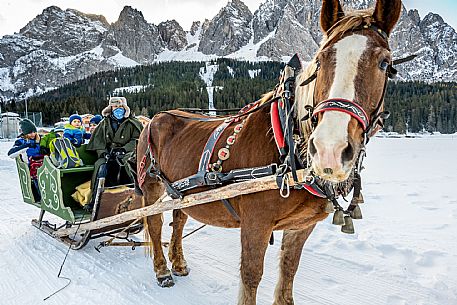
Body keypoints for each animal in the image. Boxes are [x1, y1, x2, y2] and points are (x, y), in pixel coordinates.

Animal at [137, 1, 400, 302]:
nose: (329, 150)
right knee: (155, 224)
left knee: (179, 219)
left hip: (181, 192)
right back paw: (162, 270)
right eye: (320, 60)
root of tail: (152, 119)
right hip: (151, 185)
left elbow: (289, 269)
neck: (288, 146)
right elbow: (251, 275)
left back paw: (178, 263)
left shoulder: (301, 226)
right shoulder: (256, 223)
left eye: (385, 64)